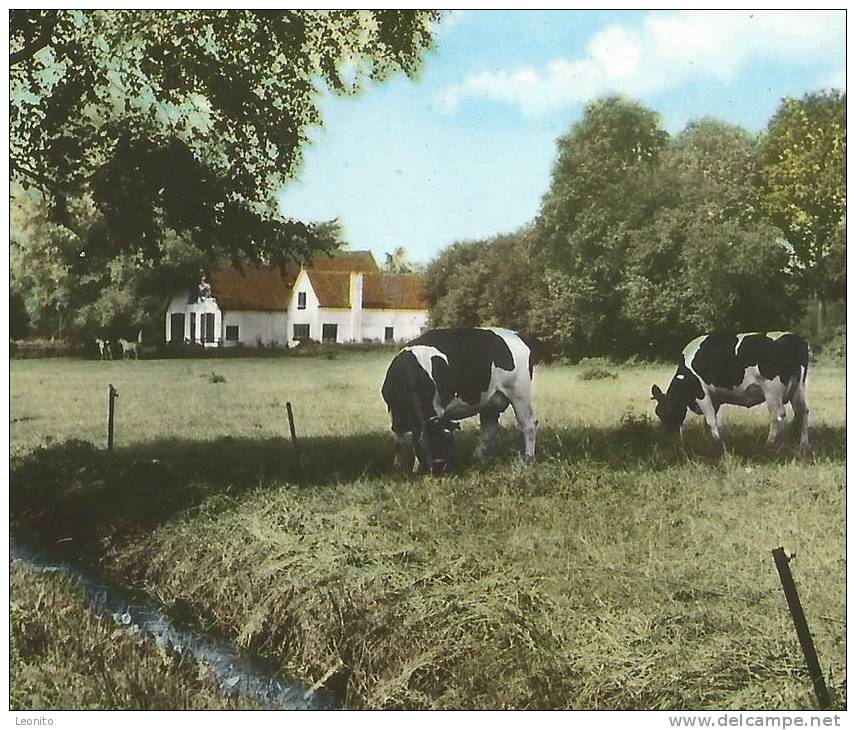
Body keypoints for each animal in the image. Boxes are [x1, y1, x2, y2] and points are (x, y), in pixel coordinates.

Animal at [380, 328, 536, 474]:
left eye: (449, 441)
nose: (440, 469)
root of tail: (516, 334)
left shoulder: (437, 408)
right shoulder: (394, 410)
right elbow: (400, 440)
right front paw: (398, 468)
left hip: (519, 392)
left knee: (528, 424)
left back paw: (527, 460)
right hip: (491, 401)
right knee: (488, 429)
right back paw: (478, 460)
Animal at [652, 332, 812, 446]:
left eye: (667, 411)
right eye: (658, 413)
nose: (668, 437)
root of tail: (794, 339)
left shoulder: (702, 393)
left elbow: (710, 420)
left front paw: (717, 441)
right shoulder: (715, 398)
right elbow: (708, 421)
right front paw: (708, 440)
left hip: (772, 391)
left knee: (778, 415)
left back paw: (770, 442)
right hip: (798, 387)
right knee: (802, 411)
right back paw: (804, 443)